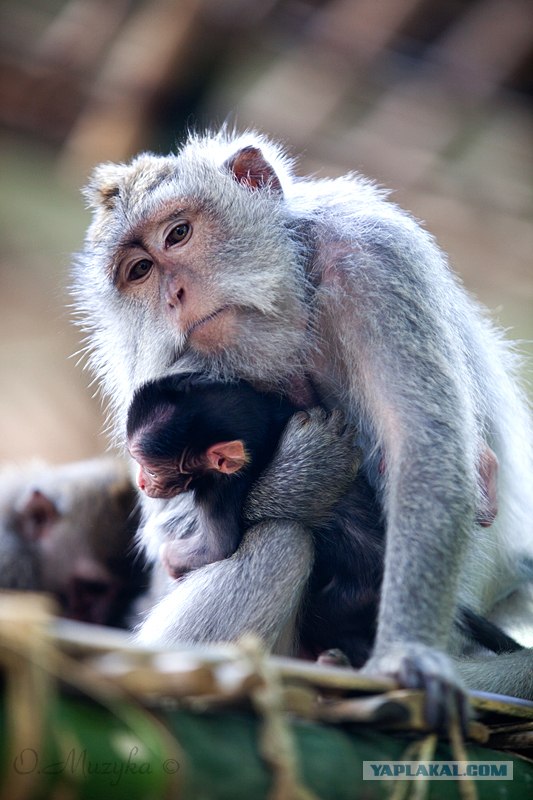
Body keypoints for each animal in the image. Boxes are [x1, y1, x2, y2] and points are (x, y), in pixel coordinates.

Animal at [74, 130, 532, 720]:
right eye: (139, 272)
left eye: (177, 234)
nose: (173, 296)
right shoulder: (148, 360)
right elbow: (170, 528)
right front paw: (305, 474)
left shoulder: (372, 257)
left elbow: (424, 447)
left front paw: (407, 654)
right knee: (282, 542)